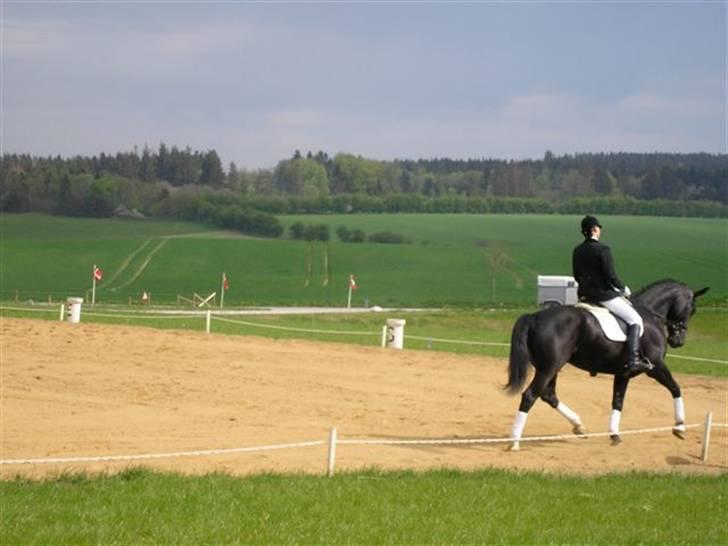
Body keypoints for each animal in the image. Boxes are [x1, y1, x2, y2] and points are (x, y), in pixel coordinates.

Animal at [504, 278, 708, 448]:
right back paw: (515, 442)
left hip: (549, 367)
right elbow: (675, 388)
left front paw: (614, 434)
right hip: (550, 367)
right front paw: (680, 427)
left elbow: (617, 401)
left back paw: (579, 426)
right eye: (692, 309)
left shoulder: (623, 373)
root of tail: (535, 316)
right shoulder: (656, 366)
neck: (649, 316)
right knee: (530, 395)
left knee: (548, 395)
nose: (678, 341)